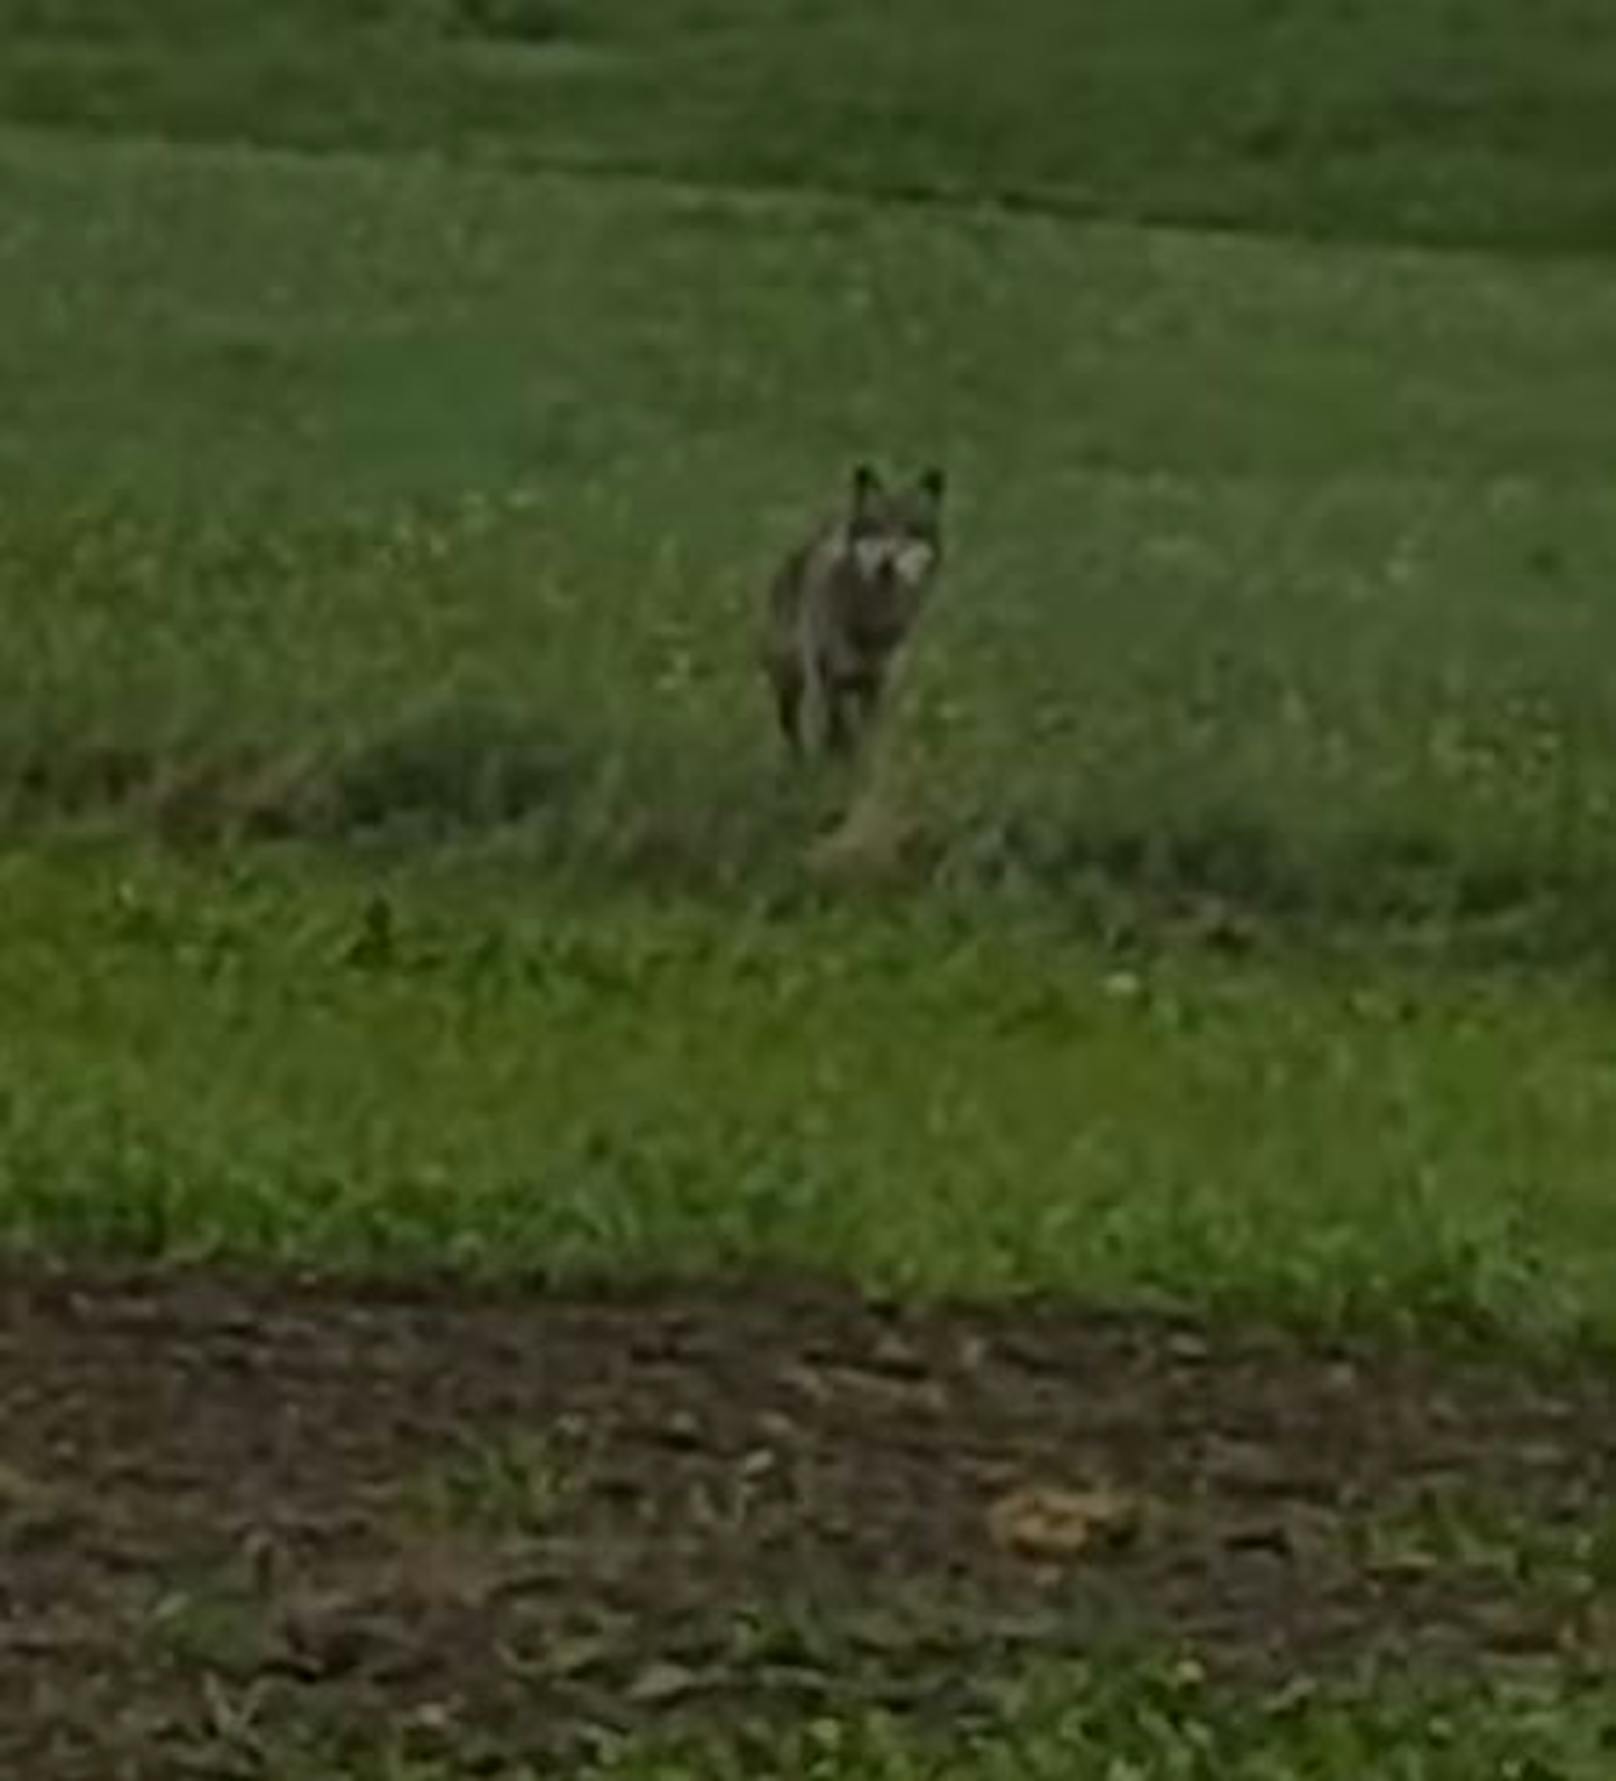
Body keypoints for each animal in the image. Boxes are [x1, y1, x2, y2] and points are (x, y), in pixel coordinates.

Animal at [762, 459, 947, 758]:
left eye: (909, 533)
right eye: (877, 530)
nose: (887, 565)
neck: (872, 623)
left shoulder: (878, 686)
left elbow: (864, 742)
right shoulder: (830, 679)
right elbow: (839, 732)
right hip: (793, 676)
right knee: (793, 724)